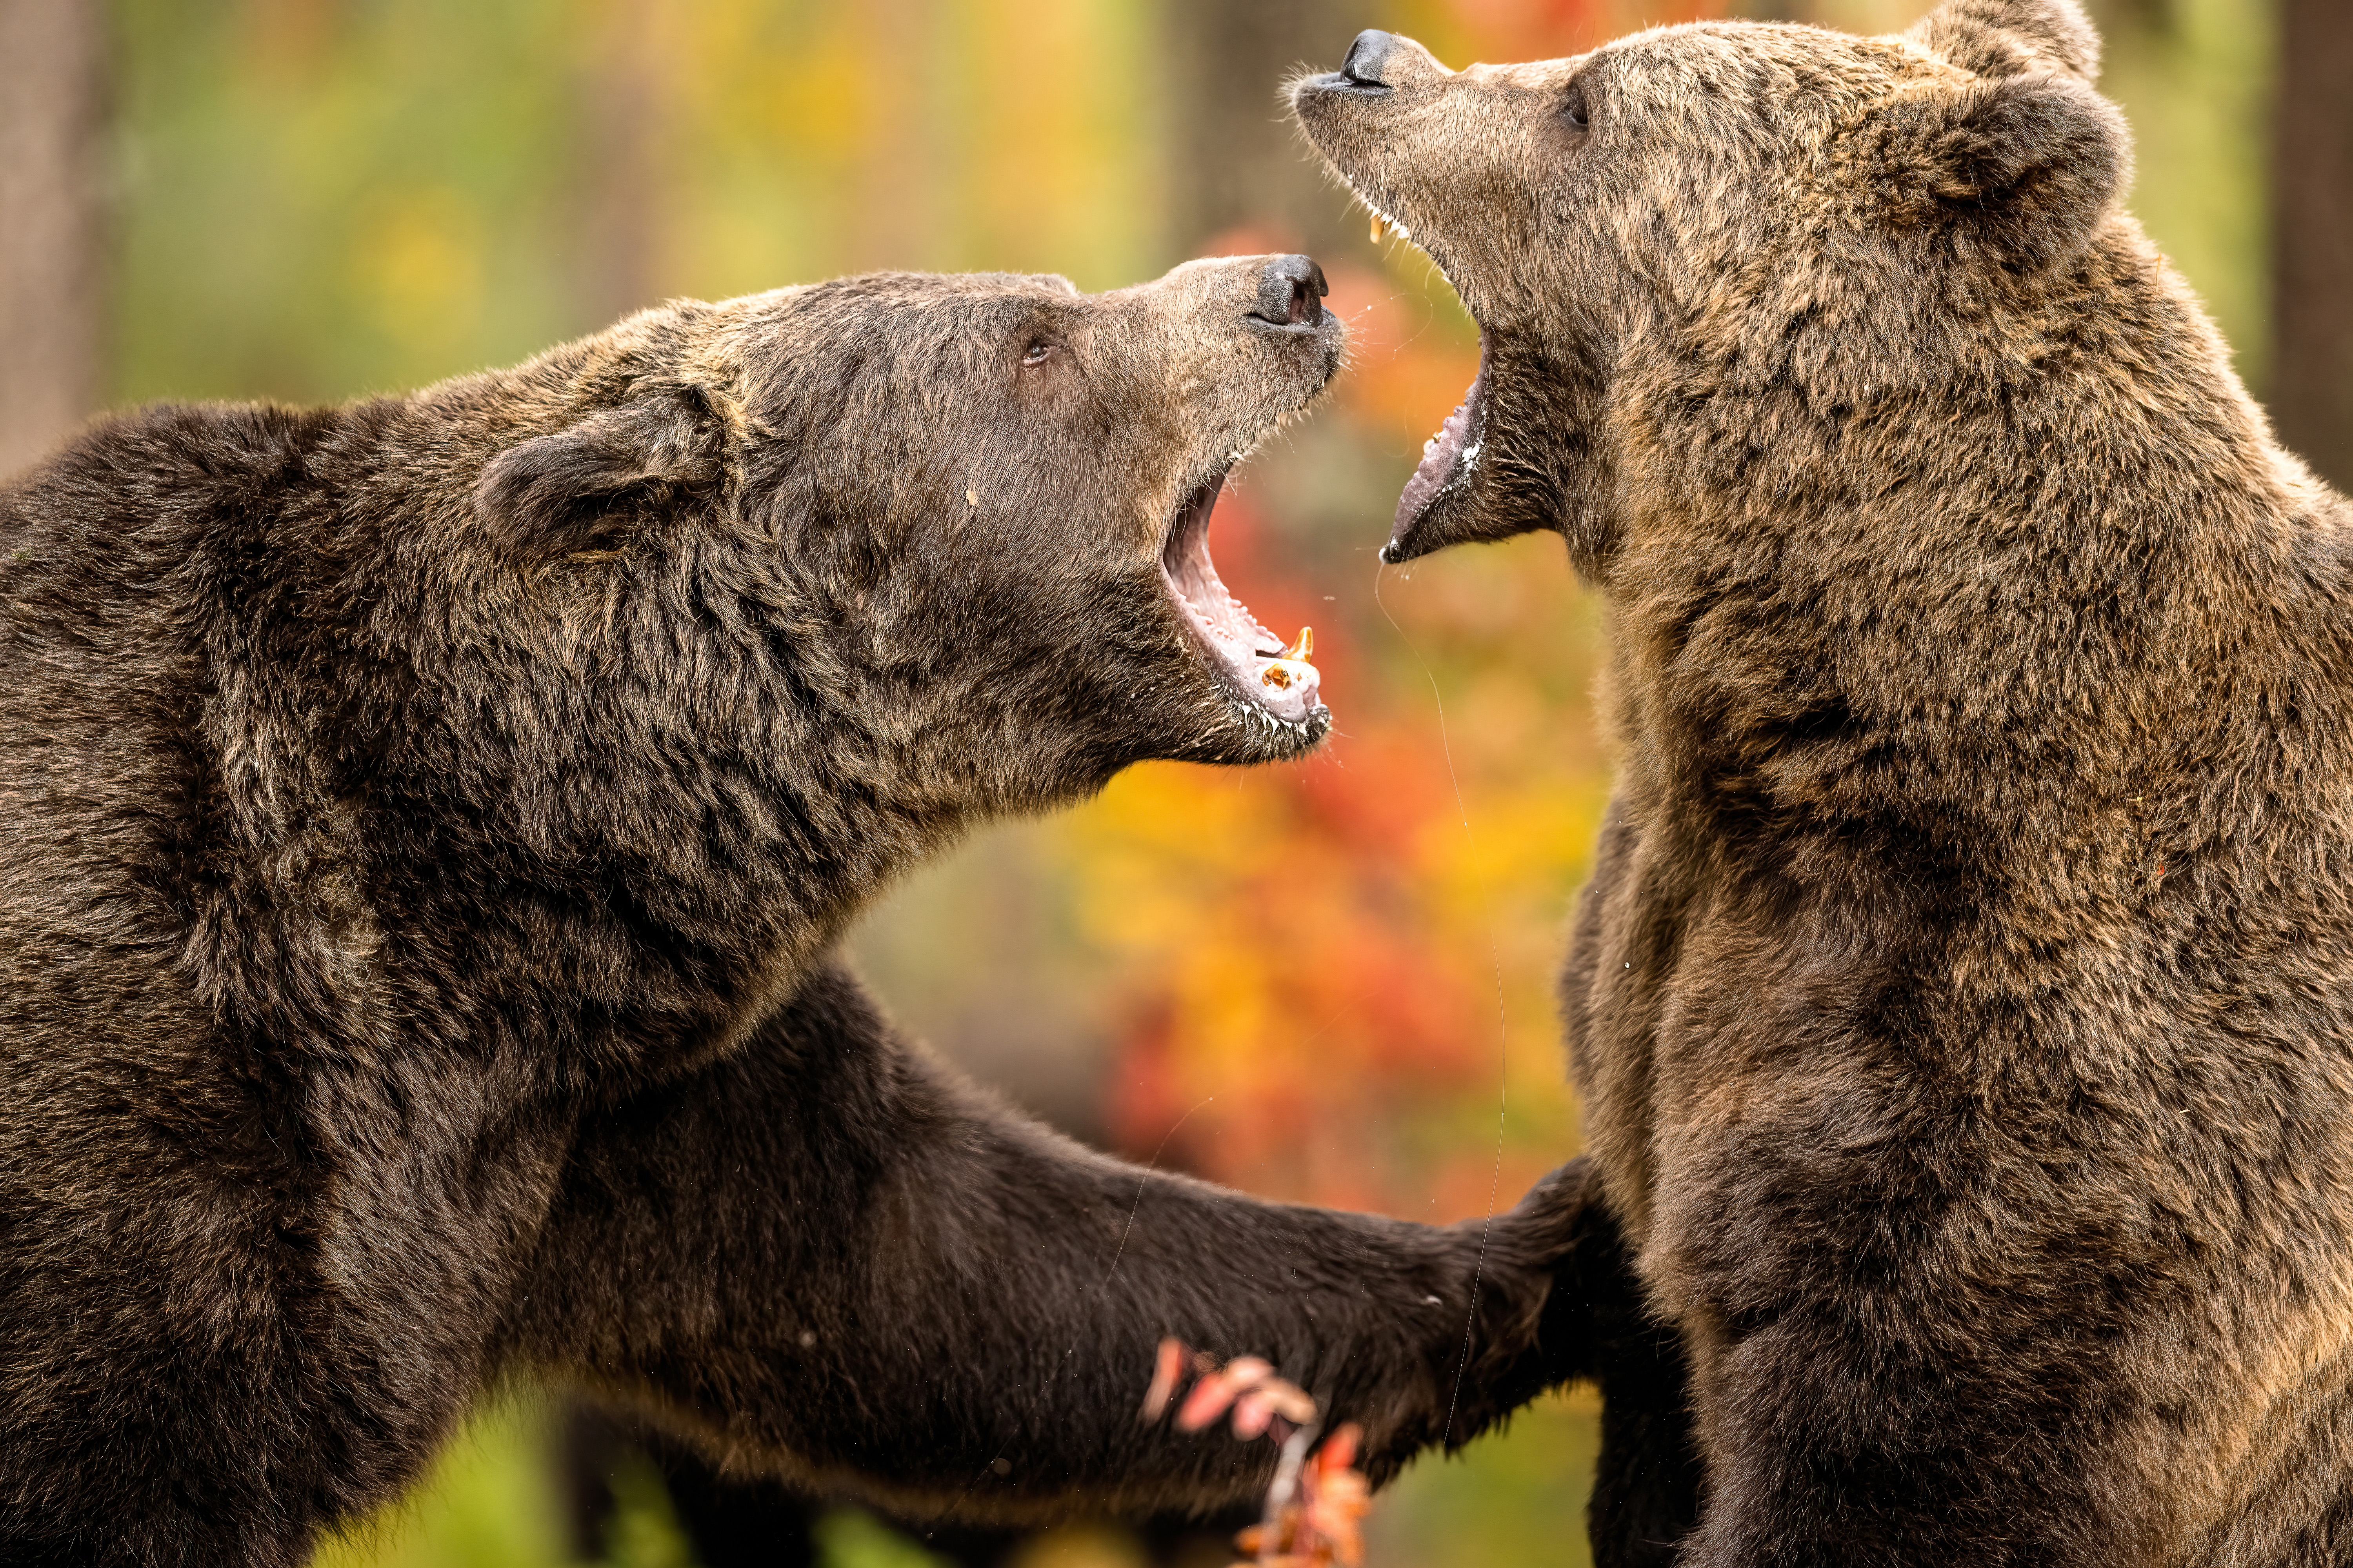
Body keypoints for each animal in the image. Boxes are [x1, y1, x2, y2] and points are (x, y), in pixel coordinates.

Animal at [0, 256, 1608, 1567]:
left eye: (1054, 300)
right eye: (1036, 343)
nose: (1291, 285)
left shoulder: (650, 1099)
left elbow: (972, 1278)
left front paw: (1559, 1243)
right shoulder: (171, 1076)